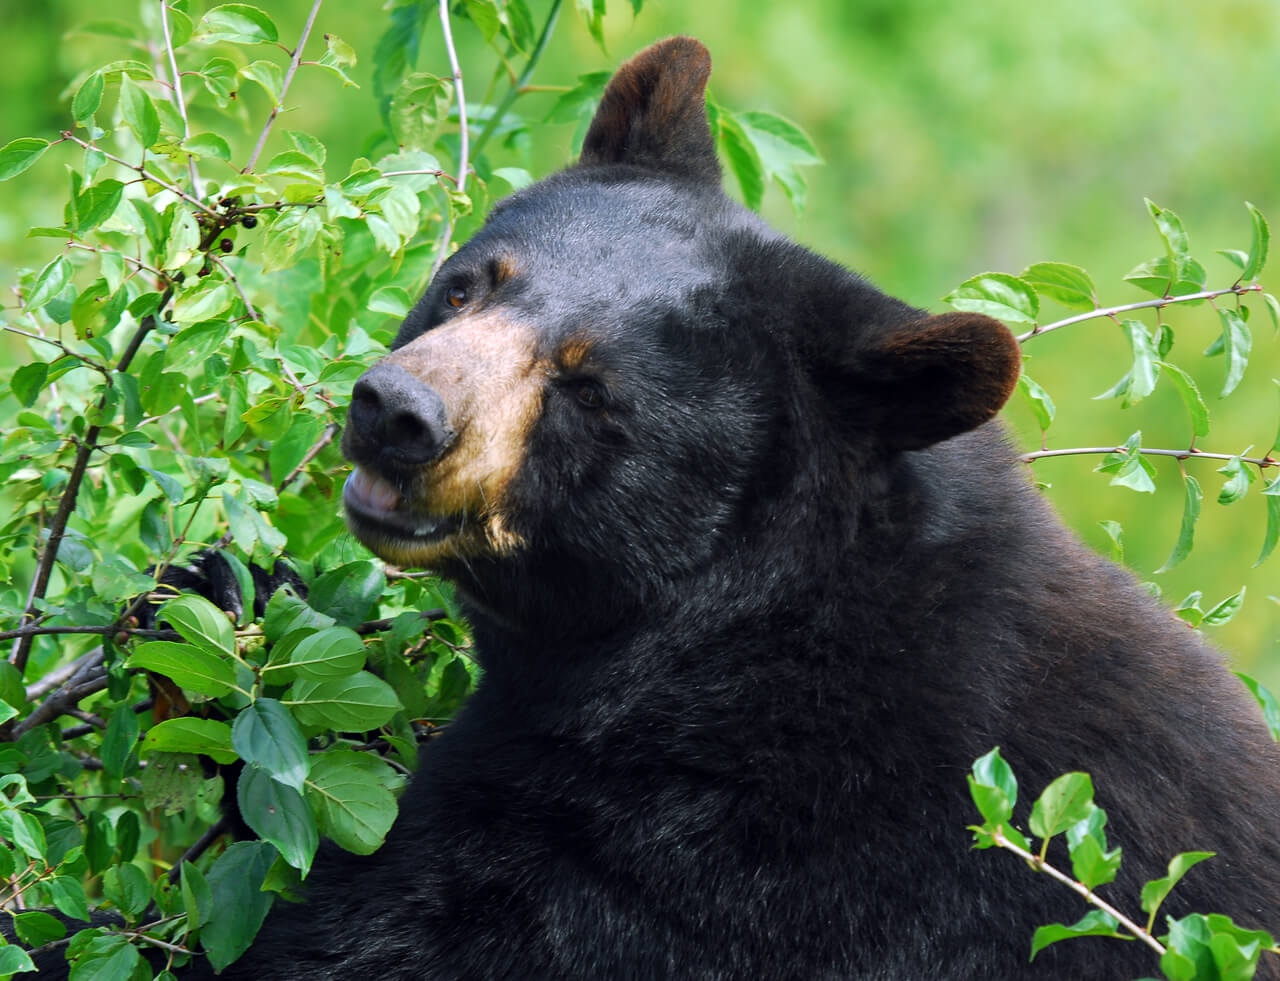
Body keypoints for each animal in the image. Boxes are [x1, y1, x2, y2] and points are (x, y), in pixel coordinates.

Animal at [186, 38, 1280, 981]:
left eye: (589, 390)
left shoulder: (696, 870)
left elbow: (367, 931)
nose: (397, 412)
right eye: (466, 288)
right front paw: (230, 587)